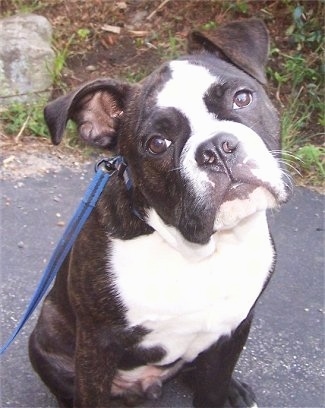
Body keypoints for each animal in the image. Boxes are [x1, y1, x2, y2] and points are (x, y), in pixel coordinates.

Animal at [29, 19, 288, 408]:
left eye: (242, 98)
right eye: (157, 144)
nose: (216, 148)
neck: (197, 251)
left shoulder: (234, 328)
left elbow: (212, 386)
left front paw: (222, 389)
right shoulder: (96, 345)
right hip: (44, 331)